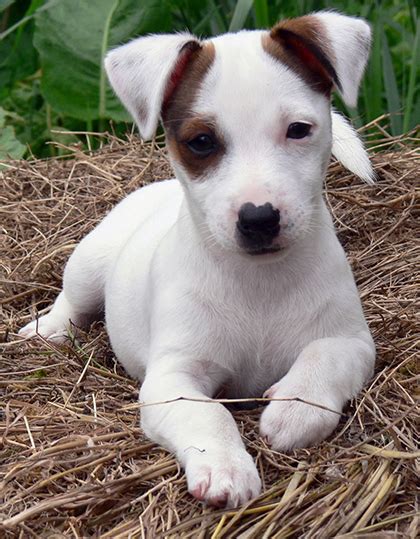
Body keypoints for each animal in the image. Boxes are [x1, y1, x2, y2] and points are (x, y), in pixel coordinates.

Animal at [19, 12, 376, 510]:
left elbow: (324, 357)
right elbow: (207, 414)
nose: (259, 218)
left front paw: (294, 409)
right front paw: (225, 466)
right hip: (88, 263)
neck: (258, 281)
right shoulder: (171, 380)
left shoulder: (352, 342)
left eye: (298, 130)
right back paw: (47, 329)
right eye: (202, 141)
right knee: (72, 300)